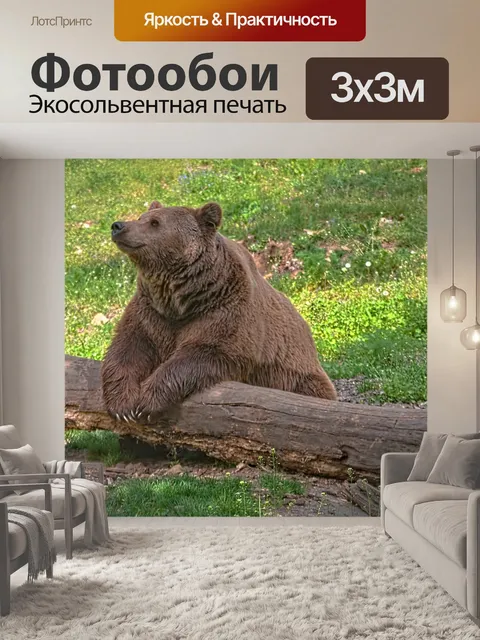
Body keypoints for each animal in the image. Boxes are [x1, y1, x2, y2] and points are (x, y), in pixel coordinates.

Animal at [102, 201, 337, 424]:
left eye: (155, 223)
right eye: (142, 217)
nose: (118, 226)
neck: (181, 298)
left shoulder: (224, 308)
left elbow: (206, 351)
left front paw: (148, 401)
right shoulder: (152, 311)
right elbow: (128, 346)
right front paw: (123, 405)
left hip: (298, 376)